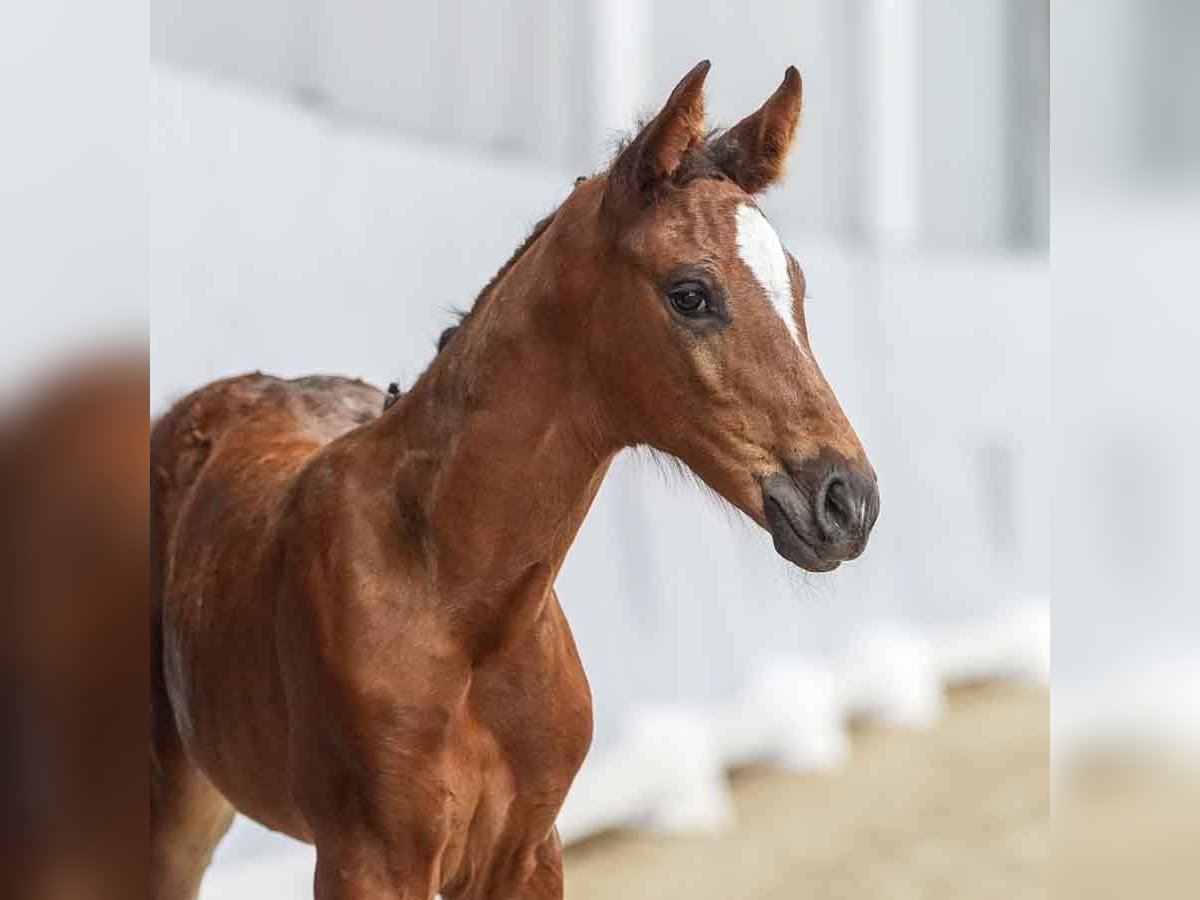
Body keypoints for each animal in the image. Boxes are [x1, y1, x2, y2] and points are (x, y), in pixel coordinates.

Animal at [152, 63, 883, 900]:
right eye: (690, 293)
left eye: (796, 284)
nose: (848, 501)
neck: (458, 605)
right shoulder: (368, 860)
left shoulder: (527, 851)